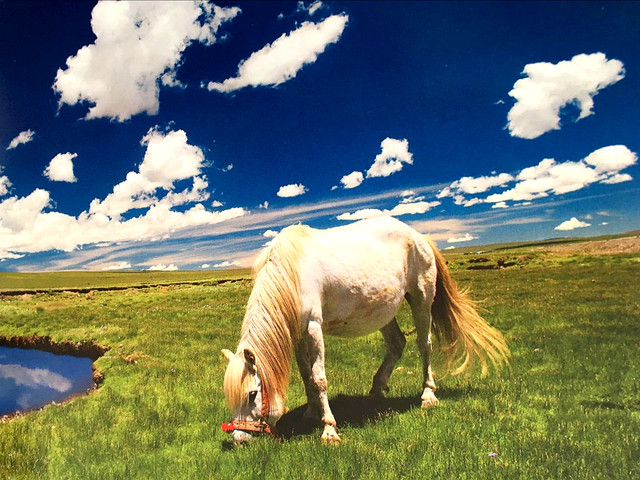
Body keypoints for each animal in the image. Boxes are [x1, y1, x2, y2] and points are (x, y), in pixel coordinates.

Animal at [221, 217, 510, 442]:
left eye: (252, 394)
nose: (239, 438)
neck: (291, 273)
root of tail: (421, 237)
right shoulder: (299, 333)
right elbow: (306, 375)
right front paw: (312, 412)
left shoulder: (313, 328)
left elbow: (319, 378)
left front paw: (329, 429)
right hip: (383, 312)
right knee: (397, 344)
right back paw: (376, 391)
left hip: (421, 299)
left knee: (424, 344)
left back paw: (428, 394)